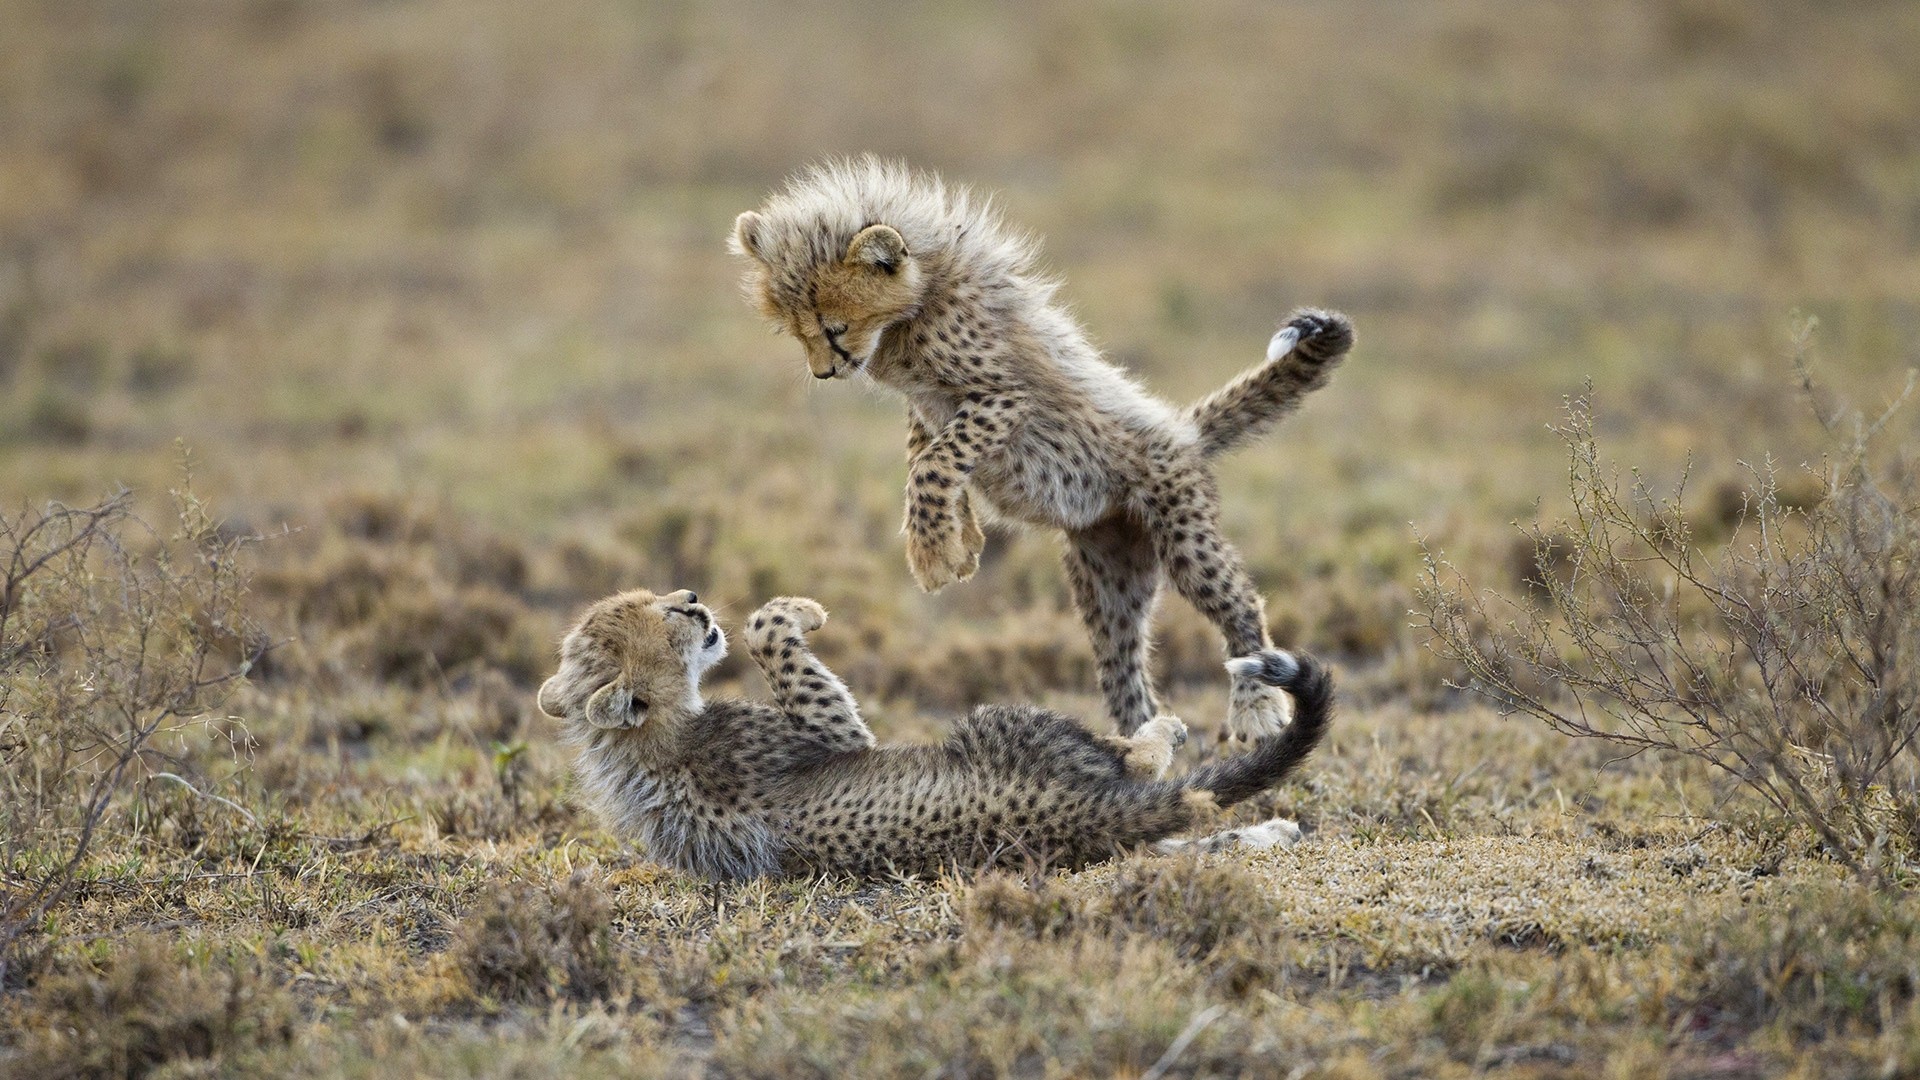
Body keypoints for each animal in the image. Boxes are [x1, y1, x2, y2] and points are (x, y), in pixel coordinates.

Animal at [536, 587, 1334, 881]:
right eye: (665, 615)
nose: (695, 600)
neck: (648, 742)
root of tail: (1064, 818)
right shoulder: (834, 734)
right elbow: (770, 636)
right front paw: (798, 612)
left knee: (1181, 834)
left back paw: (1274, 831)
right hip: (1003, 724)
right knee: (1141, 771)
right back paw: (1159, 729)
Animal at [730, 156, 1354, 741]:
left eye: (832, 327)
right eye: (795, 331)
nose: (824, 371)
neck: (918, 303)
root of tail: (1181, 430)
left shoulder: (1005, 396)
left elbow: (935, 461)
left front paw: (933, 553)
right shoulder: (929, 405)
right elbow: (924, 450)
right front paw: (961, 540)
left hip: (1183, 535)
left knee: (1241, 606)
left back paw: (1255, 706)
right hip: (1110, 581)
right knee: (1124, 672)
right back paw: (1140, 747)